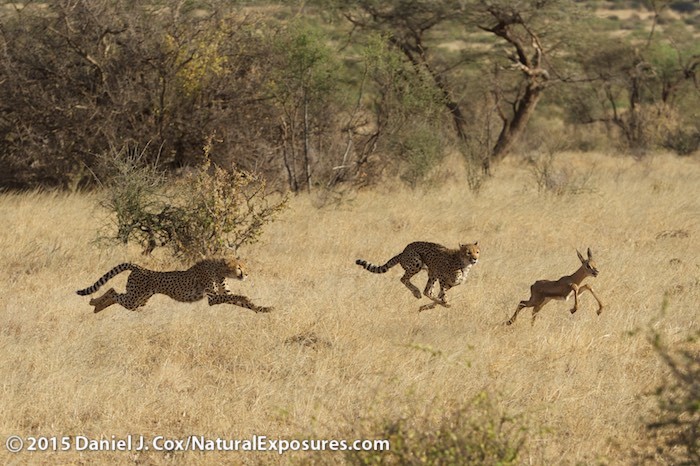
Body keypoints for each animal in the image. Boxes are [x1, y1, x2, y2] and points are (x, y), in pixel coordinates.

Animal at [76, 258, 272, 314]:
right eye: (239, 267)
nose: (246, 274)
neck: (219, 269)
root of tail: (139, 266)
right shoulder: (213, 298)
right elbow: (238, 296)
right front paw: (249, 299)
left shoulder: (222, 294)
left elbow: (239, 301)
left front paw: (263, 308)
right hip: (134, 299)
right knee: (112, 291)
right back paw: (95, 304)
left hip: (140, 300)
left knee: (117, 296)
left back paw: (96, 306)